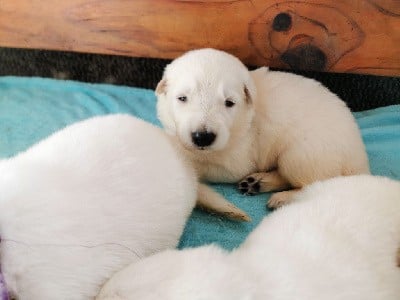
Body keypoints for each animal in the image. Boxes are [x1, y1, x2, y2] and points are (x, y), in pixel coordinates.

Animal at [155, 48, 370, 219]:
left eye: (229, 103)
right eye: (182, 98)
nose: (203, 137)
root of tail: (359, 160)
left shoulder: (236, 162)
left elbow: (196, 164)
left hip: (300, 155)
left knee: (314, 185)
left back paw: (282, 197)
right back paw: (257, 182)